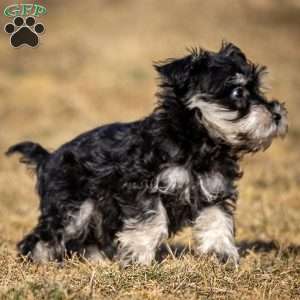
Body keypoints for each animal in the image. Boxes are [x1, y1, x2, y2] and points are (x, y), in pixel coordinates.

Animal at [7, 41, 288, 264]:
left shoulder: (214, 189)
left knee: (86, 239)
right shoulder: (141, 188)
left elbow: (217, 221)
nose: (277, 114)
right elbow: (151, 222)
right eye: (238, 92)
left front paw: (222, 255)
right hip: (73, 207)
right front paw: (138, 257)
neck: (196, 142)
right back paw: (41, 262)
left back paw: (98, 261)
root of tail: (47, 158)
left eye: (259, 89)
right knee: (42, 237)